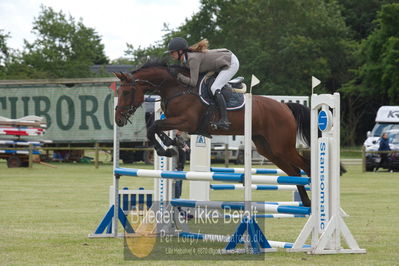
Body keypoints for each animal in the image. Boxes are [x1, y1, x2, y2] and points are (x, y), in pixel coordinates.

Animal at [115, 59, 312, 206]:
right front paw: (171, 145)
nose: (118, 120)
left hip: (282, 147)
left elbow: (154, 126)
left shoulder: (186, 121)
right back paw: (307, 202)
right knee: (294, 172)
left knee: (305, 165)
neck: (177, 88)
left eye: (126, 92)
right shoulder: (175, 121)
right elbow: (154, 126)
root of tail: (285, 107)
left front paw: (165, 149)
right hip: (269, 149)